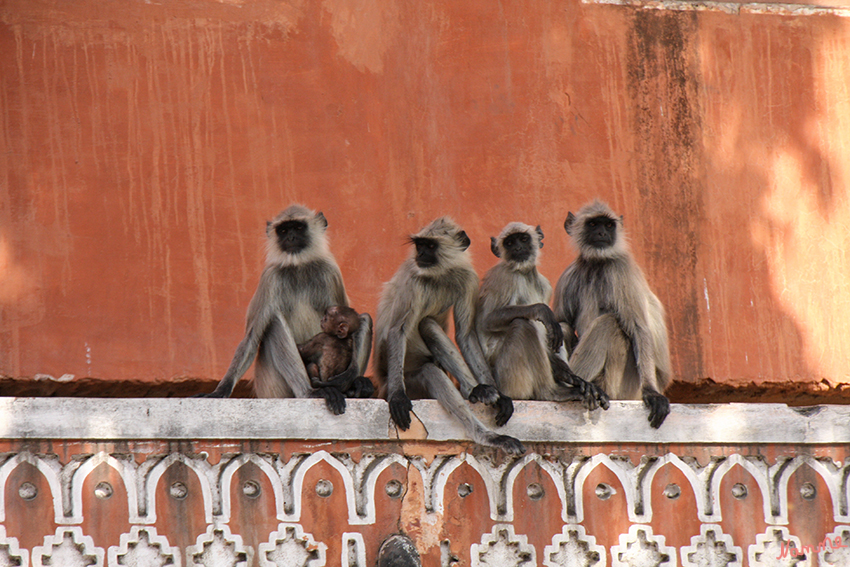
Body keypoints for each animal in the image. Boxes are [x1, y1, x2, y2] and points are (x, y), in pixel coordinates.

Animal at [200, 204, 372, 412]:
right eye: (283, 230)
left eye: (298, 228)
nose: (290, 237)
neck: (299, 266)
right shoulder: (270, 278)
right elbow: (251, 339)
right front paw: (219, 391)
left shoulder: (330, 271)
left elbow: (350, 321)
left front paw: (352, 374)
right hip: (273, 386)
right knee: (273, 324)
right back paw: (310, 392)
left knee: (365, 317)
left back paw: (354, 386)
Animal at [376, 215, 524, 454]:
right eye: (420, 245)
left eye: (430, 246)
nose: (420, 255)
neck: (440, 275)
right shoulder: (413, 279)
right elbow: (397, 330)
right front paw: (398, 397)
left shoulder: (468, 278)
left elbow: (464, 334)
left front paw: (499, 396)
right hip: (407, 383)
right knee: (428, 358)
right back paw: (487, 436)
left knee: (429, 325)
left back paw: (477, 390)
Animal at [476, 222, 608, 408]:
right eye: (509, 243)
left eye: (523, 239)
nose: (517, 248)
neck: (525, 274)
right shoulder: (502, 276)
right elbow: (488, 320)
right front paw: (542, 310)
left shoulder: (545, 285)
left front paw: (570, 375)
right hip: (508, 382)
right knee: (523, 325)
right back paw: (552, 392)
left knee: (560, 328)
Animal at [552, 202, 672, 428]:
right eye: (593, 224)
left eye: (608, 225)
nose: (602, 233)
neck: (597, 263)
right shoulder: (569, 275)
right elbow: (558, 321)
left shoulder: (620, 268)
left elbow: (639, 330)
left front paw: (651, 393)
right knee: (564, 327)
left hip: (627, 385)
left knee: (609, 323)